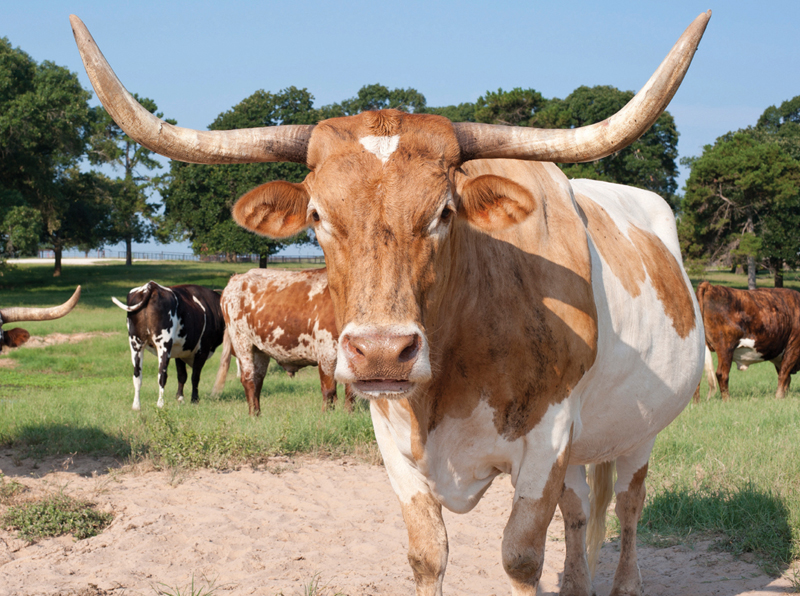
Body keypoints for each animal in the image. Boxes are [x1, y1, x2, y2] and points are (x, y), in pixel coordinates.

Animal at [212, 268, 354, 414]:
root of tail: (236, 278)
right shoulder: (327, 350)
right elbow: (329, 389)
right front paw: (326, 415)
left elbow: (350, 390)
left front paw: (349, 414)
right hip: (242, 342)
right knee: (249, 380)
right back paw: (253, 414)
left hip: (259, 350)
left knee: (257, 380)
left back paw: (258, 415)